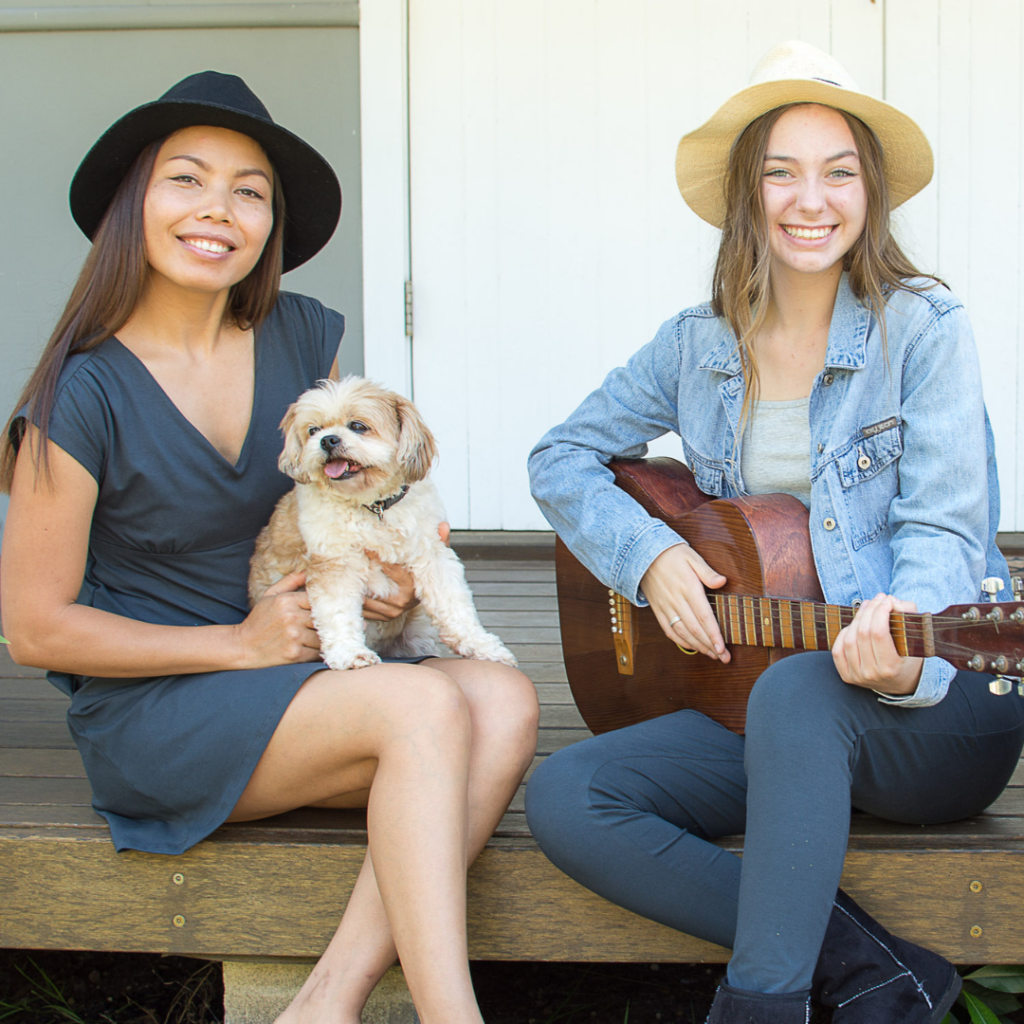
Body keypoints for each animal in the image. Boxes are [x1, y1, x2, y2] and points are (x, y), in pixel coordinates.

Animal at [246, 376, 516, 671]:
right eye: (313, 430)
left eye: (358, 426)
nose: (327, 440)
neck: (373, 505)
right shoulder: (334, 564)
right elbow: (337, 612)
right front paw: (350, 653)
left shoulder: (432, 554)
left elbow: (454, 604)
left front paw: (482, 646)